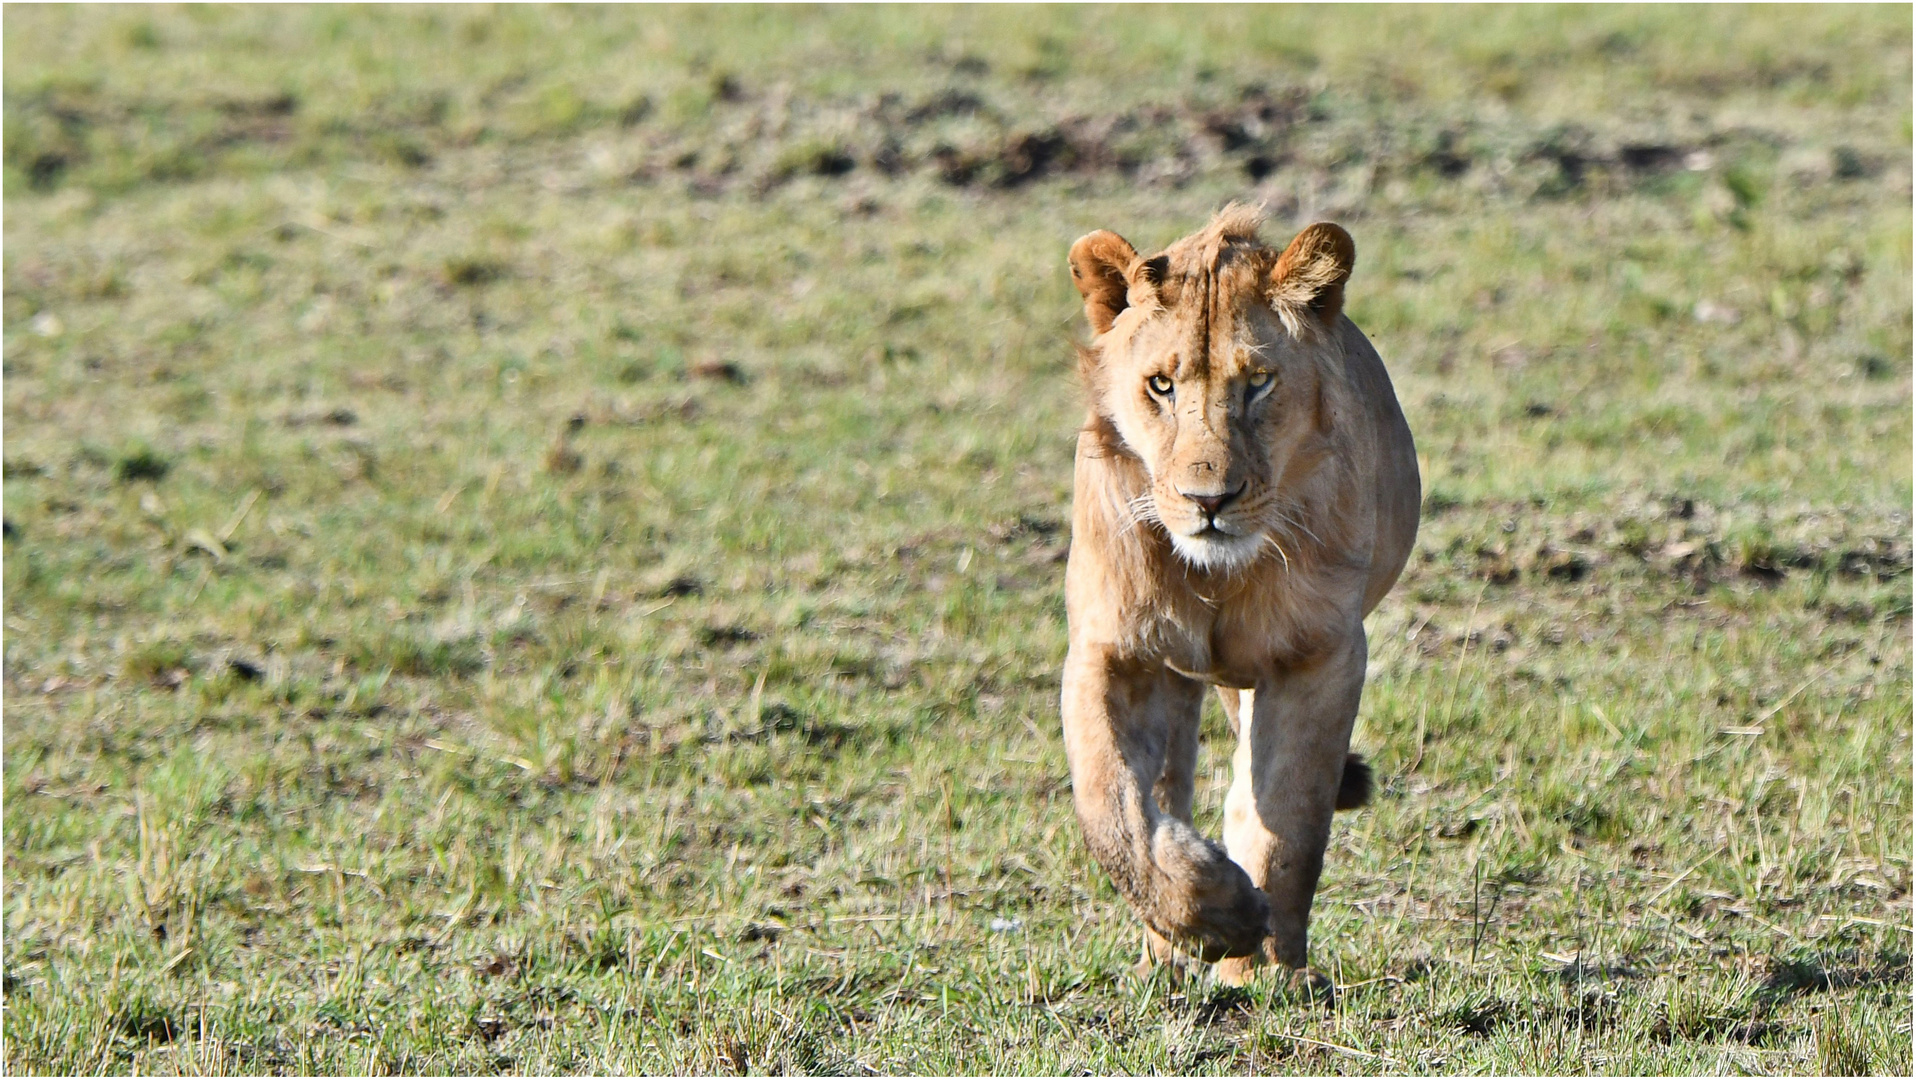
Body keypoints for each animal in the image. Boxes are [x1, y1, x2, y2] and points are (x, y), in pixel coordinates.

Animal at [1065, 204, 1425, 988]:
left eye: (1258, 382)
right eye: (1160, 386)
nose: (1210, 501)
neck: (1215, 574)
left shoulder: (1319, 655)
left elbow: (1289, 819)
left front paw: (1264, 965)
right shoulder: (1115, 650)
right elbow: (1112, 808)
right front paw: (1208, 916)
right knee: (1166, 785)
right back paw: (1165, 950)